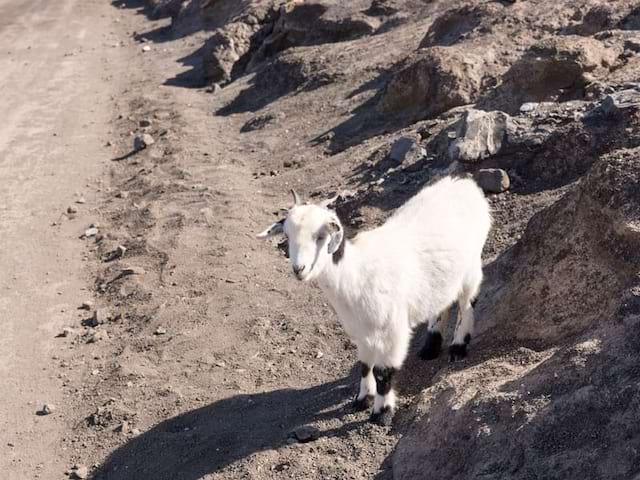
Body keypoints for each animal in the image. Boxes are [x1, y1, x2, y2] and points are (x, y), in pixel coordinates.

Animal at [258, 176, 492, 424]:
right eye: (287, 236)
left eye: (320, 236)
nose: (299, 269)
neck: (355, 273)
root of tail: (463, 183)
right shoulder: (361, 329)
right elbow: (364, 365)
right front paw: (363, 399)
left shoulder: (392, 329)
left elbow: (383, 372)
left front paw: (382, 413)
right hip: (444, 277)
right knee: (442, 302)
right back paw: (430, 347)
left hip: (472, 266)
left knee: (467, 302)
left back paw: (458, 347)